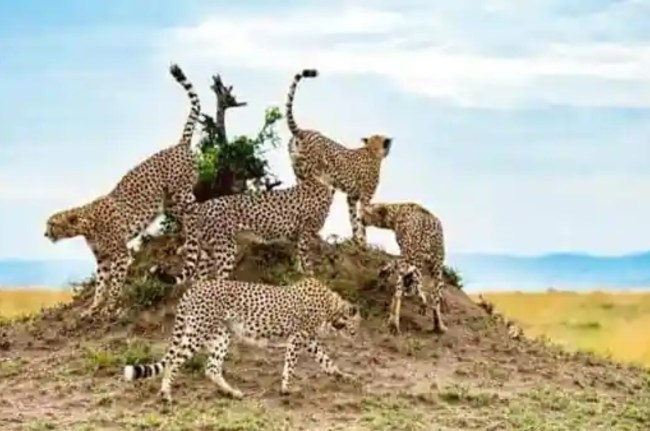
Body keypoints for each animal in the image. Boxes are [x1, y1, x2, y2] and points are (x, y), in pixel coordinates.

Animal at [43, 63, 202, 318]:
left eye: (52, 224)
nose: (45, 234)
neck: (86, 224)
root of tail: (179, 145)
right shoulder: (103, 259)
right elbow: (101, 284)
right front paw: (93, 308)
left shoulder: (119, 255)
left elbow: (115, 284)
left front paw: (109, 308)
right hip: (170, 204)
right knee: (186, 220)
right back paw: (185, 242)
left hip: (182, 195)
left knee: (197, 212)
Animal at [122, 276, 361, 403]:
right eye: (356, 326)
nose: (356, 336)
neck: (332, 308)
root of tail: (195, 287)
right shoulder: (298, 337)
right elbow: (291, 366)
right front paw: (286, 389)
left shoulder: (309, 339)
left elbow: (327, 361)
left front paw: (344, 376)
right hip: (197, 333)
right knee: (175, 360)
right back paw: (166, 393)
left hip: (220, 335)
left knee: (211, 367)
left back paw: (231, 392)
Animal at [284, 68, 392, 248]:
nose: (389, 149)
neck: (371, 150)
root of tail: (303, 131)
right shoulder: (365, 196)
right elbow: (362, 219)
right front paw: (364, 243)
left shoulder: (352, 197)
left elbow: (354, 219)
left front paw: (356, 240)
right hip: (319, 179)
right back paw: (315, 234)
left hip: (300, 174)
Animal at [361, 202, 448, 335]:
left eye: (366, 212)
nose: (361, 219)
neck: (396, 211)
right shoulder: (427, 264)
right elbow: (420, 287)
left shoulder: (405, 255)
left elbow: (394, 263)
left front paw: (384, 271)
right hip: (435, 269)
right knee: (435, 299)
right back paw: (438, 326)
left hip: (412, 262)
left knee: (397, 294)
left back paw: (393, 324)